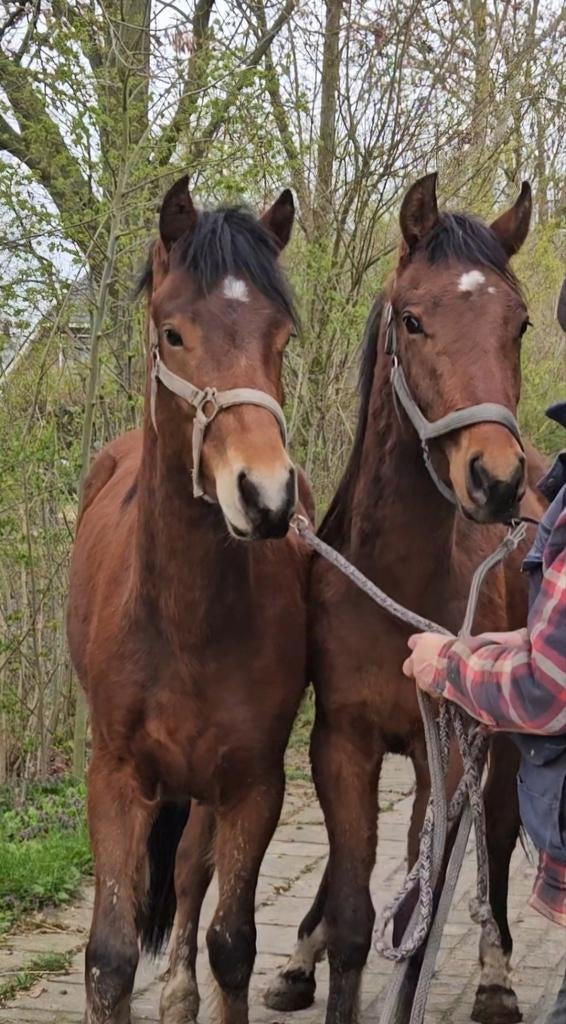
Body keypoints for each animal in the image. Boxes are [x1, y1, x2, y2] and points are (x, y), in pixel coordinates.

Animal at [67, 176, 313, 1024]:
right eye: (173, 335)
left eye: (282, 340)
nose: (265, 496)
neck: (183, 623)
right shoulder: (114, 778)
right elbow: (109, 958)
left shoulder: (255, 784)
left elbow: (231, 942)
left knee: (189, 876)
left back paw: (177, 991)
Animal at [265, 173, 547, 1024]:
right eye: (414, 319)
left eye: (519, 324)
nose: (496, 479)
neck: (393, 584)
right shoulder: (340, 741)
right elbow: (358, 912)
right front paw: (318, 959)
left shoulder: (444, 751)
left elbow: (415, 925)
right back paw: (299, 957)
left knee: (495, 835)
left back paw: (495, 975)